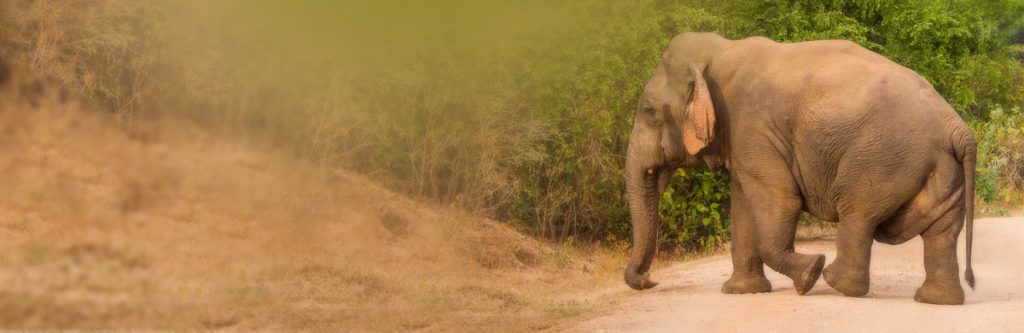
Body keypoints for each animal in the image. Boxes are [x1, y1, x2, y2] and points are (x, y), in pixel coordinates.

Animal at [622, 32, 974, 305]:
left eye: (649, 111)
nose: (649, 280)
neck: (722, 52)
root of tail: (958, 129)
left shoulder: (754, 129)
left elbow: (779, 202)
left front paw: (808, 275)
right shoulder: (743, 139)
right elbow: (743, 208)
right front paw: (742, 292)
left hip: (884, 159)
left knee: (858, 214)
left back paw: (832, 279)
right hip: (943, 169)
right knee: (942, 232)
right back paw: (935, 300)